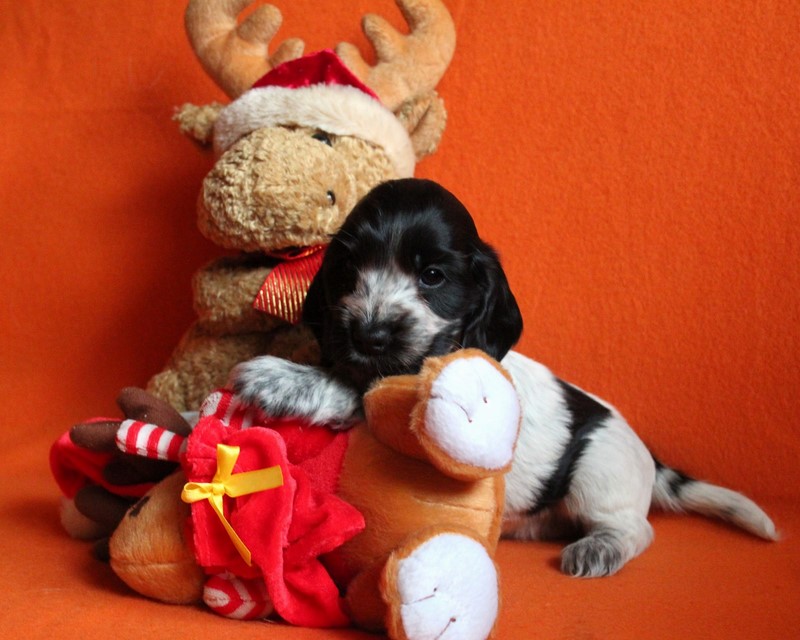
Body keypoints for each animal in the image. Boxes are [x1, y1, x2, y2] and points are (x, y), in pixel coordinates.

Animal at [232, 178, 777, 578]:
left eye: (433, 276)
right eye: (348, 271)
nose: (369, 334)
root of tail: (650, 457)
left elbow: (365, 391)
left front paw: (281, 379)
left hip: (599, 473)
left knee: (637, 529)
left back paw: (599, 548)